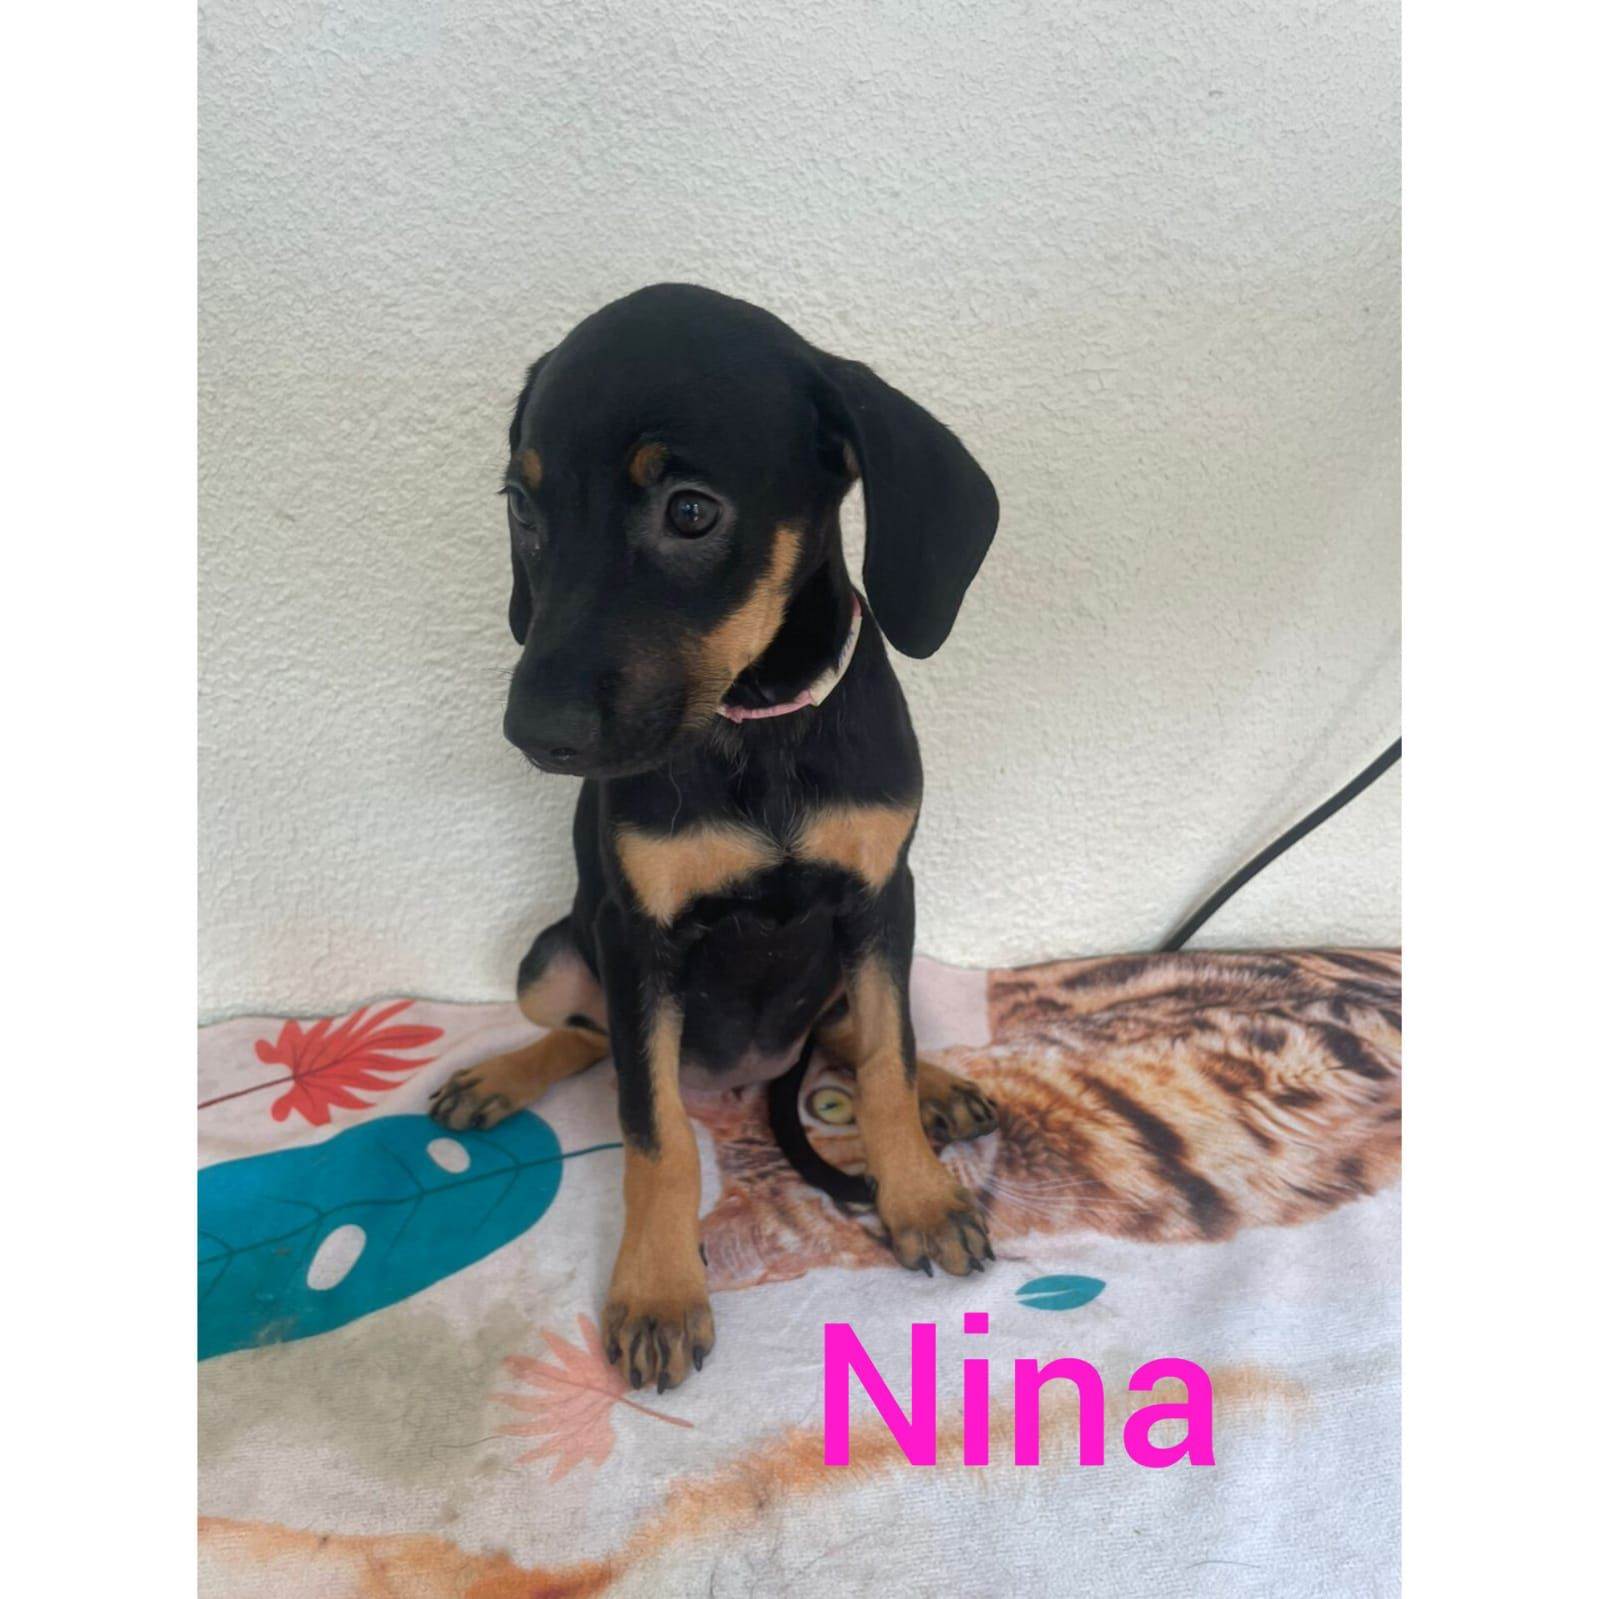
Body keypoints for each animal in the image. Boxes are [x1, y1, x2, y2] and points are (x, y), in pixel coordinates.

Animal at [429, 284, 1001, 1392]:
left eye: (690, 510)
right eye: (523, 509)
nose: (535, 733)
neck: (759, 727)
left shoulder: (883, 898)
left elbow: (886, 1056)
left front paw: (917, 1196)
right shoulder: (639, 933)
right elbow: (656, 1135)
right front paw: (658, 1292)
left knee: (848, 1025)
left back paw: (944, 1087)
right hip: (553, 954)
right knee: (587, 1034)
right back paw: (500, 1077)